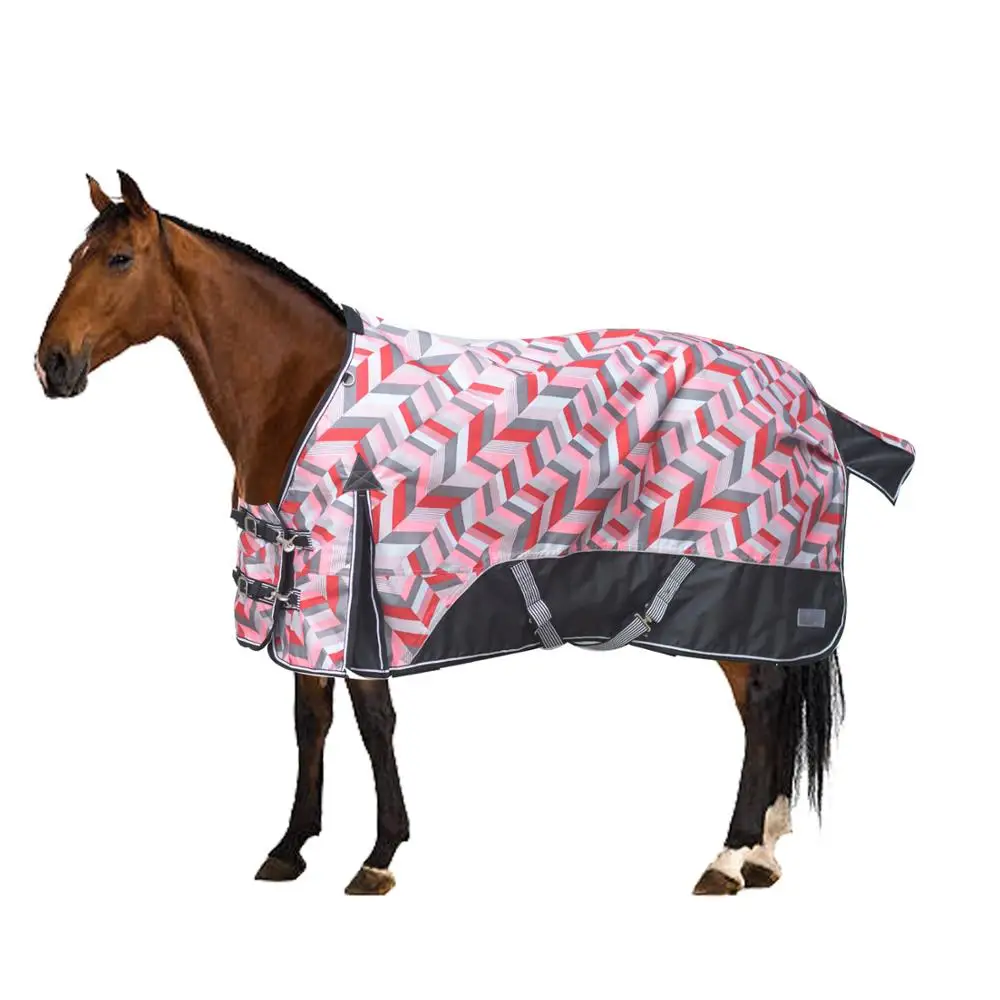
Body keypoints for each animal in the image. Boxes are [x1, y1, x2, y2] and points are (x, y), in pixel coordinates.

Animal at [35, 172, 907, 896]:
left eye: (118, 259)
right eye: (76, 255)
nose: (52, 365)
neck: (301, 389)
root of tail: (808, 398)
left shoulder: (354, 592)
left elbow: (374, 722)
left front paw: (379, 856)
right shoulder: (300, 588)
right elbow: (311, 720)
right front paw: (290, 848)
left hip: (721, 584)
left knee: (759, 707)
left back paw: (729, 857)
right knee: (770, 705)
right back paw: (761, 851)